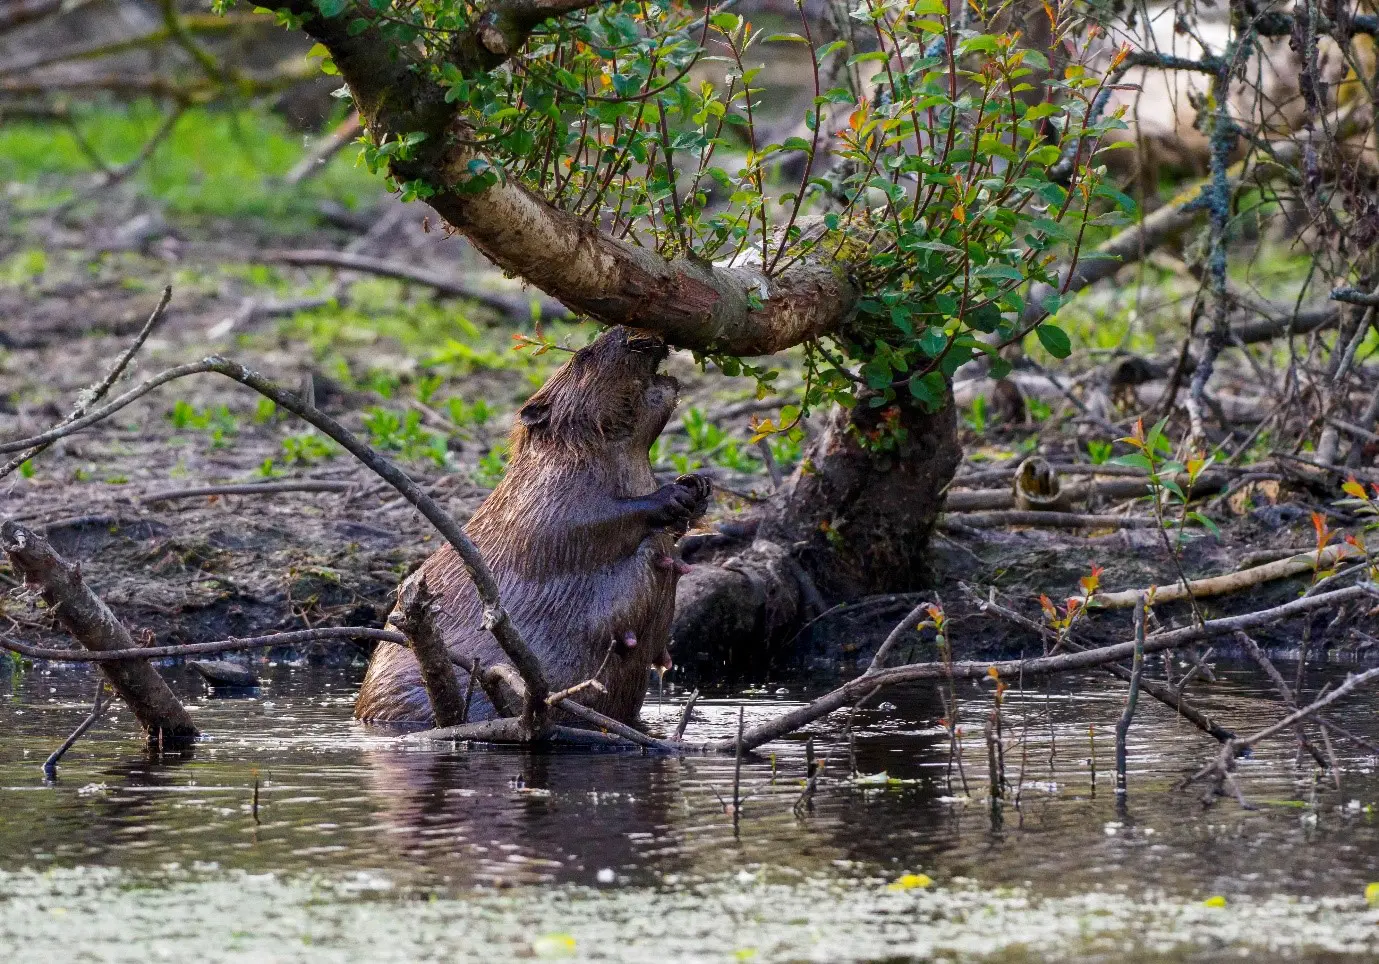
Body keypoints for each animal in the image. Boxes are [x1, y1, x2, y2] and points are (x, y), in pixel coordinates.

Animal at [355, 328, 711, 728]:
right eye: (583, 356)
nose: (628, 332)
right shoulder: (542, 500)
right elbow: (587, 522)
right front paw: (672, 495)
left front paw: (696, 486)